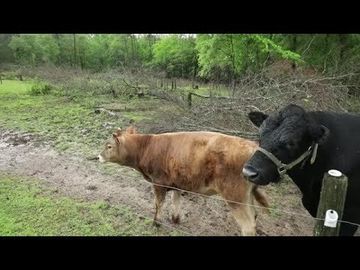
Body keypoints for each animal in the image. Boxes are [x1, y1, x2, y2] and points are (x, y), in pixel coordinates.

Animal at [97, 127, 268, 235]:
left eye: (109, 146)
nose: (97, 157)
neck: (147, 147)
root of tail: (252, 145)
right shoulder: (177, 182)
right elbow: (176, 200)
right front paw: (175, 219)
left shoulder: (158, 182)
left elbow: (159, 204)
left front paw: (156, 223)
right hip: (246, 196)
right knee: (254, 216)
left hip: (234, 196)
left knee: (248, 226)